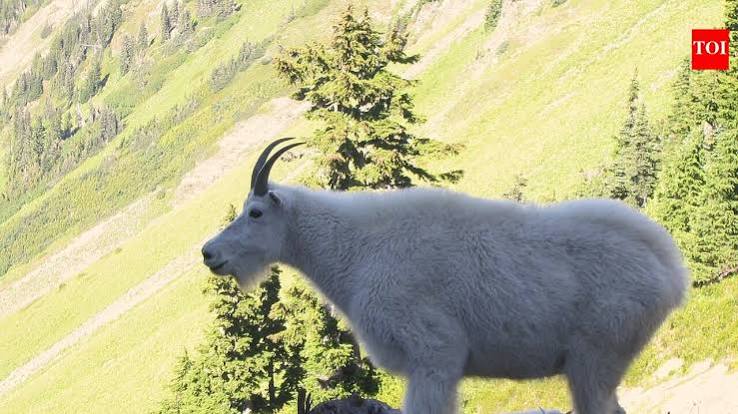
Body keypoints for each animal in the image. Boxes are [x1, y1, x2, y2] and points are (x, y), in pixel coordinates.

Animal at [201, 138, 688, 414]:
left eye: (255, 212)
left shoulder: (433, 355)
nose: (210, 254)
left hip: (597, 355)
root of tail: (670, 268)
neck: (354, 251)